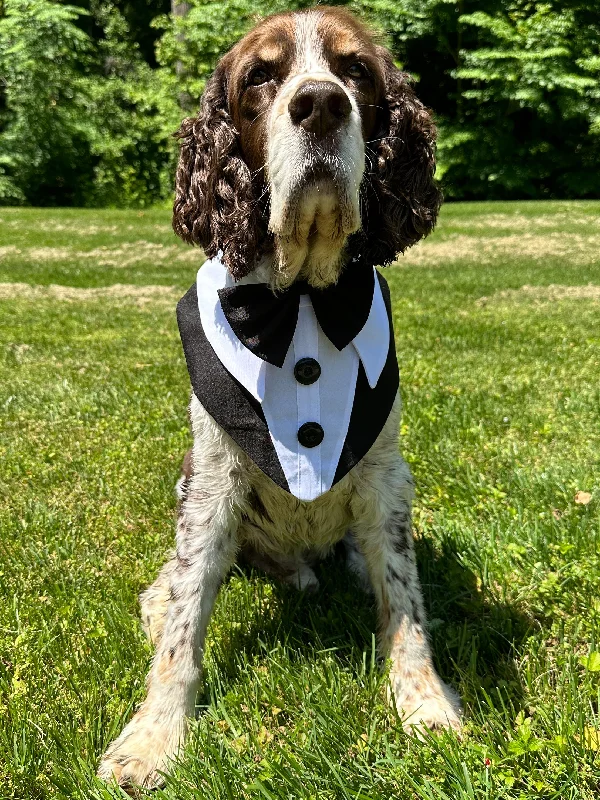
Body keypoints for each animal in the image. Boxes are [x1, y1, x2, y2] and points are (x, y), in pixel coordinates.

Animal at [99, 6, 460, 792]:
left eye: (356, 70)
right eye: (261, 76)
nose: (321, 104)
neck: (301, 299)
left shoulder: (385, 475)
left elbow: (404, 599)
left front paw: (424, 705)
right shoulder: (212, 482)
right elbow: (184, 623)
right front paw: (152, 740)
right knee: (180, 582)